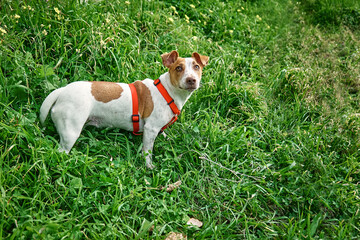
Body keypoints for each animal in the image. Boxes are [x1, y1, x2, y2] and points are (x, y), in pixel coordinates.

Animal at [39, 50, 208, 169]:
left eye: (197, 67)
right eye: (179, 68)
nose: (191, 80)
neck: (167, 92)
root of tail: (62, 91)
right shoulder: (150, 129)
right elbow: (148, 151)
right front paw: (149, 165)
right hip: (70, 133)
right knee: (61, 152)